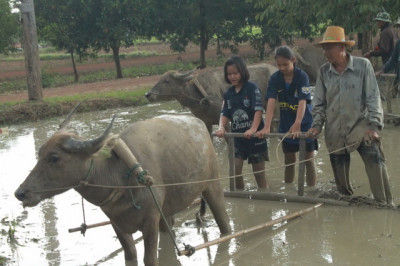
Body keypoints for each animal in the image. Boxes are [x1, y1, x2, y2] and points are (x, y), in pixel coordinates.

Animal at [14, 112, 231, 266]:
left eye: (54, 157)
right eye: (40, 153)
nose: (20, 193)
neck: (118, 176)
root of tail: (200, 126)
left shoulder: (150, 220)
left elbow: (149, 259)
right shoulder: (116, 222)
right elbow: (130, 255)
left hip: (212, 184)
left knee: (224, 222)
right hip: (167, 209)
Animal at [145, 62, 278, 133]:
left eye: (167, 81)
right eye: (160, 78)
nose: (148, 94)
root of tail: (275, 69)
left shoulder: (227, 123)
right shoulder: (207, 124)